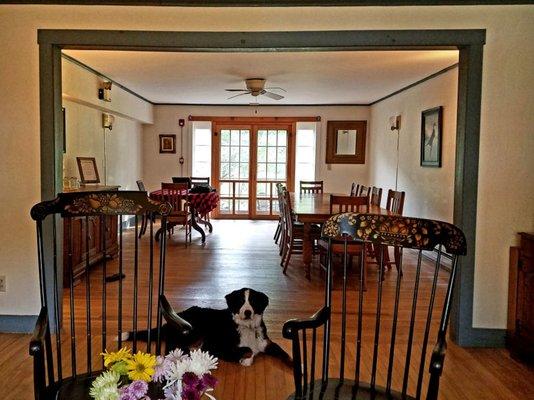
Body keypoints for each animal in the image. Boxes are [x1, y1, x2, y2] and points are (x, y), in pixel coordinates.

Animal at [126, 290, 294, 368]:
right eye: (240, 301)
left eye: (252, 301)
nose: (247, 312)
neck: (248, 327)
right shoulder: (219, 346)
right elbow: (248, 349)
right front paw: (246, 360)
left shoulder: (267, 344)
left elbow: (285, 353)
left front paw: (296, 366)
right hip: (194, 331)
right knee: (171, 345)